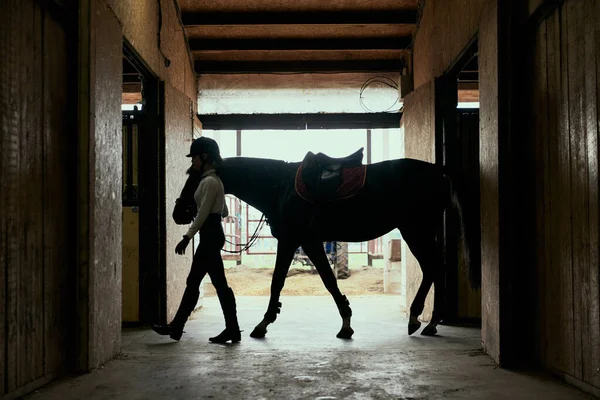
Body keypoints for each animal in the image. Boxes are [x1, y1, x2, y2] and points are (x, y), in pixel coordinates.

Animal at [176, 152, 480, 340]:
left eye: (194, 176)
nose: (178, 212)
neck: (279, 186)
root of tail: (437, 169)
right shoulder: (306, 242)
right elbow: (326, 280)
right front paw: (346, 323)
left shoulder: (296, 240)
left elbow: (285, 281)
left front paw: (263, 324)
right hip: (420, 231)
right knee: (435, 268)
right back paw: (429, 322)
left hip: (416, 230)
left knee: (433, 268)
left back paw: (420, 319)